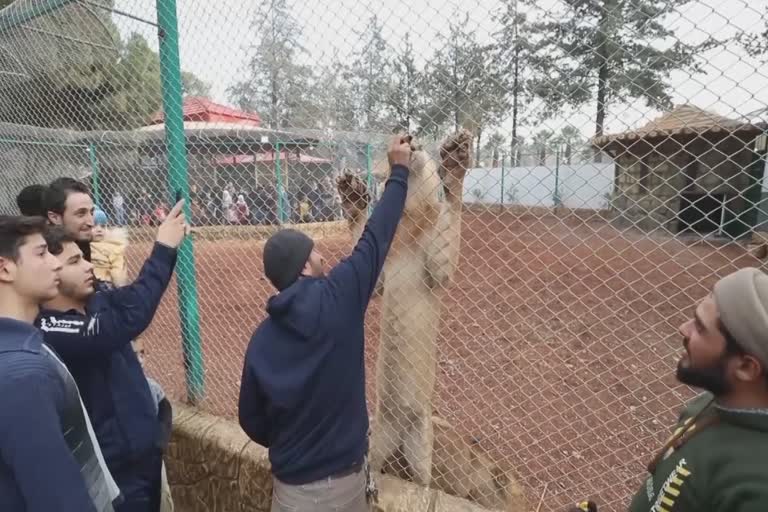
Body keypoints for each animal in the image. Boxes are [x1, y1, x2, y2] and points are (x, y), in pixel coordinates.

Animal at [338, 130, 472, 486]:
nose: (410, 138)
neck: (409, 213)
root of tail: (398, 429)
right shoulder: (379, 278)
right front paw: (352, 197)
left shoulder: (437, 267)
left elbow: (448, 215)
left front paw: (455, 164)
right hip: (377, 442)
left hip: (420, 446)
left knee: (422, 480)